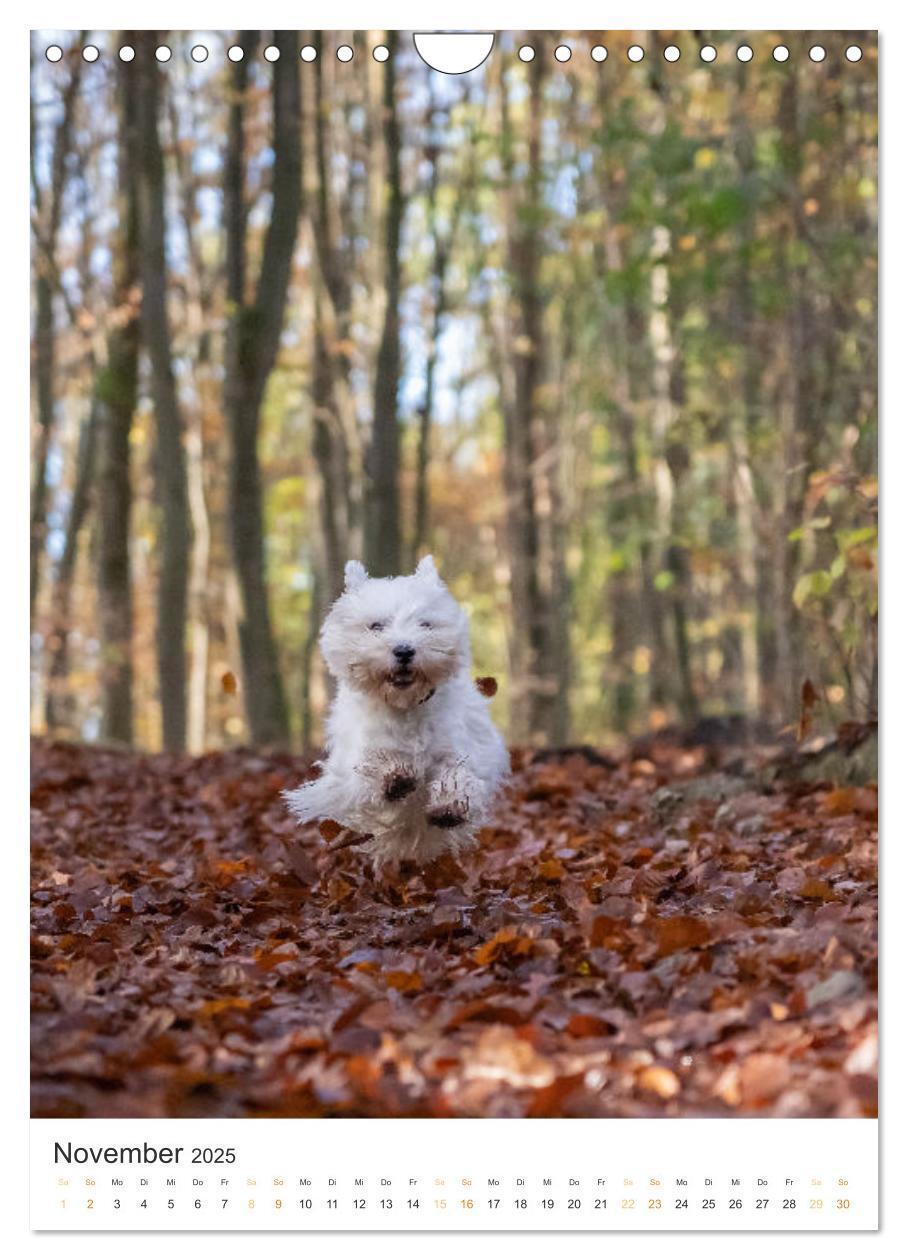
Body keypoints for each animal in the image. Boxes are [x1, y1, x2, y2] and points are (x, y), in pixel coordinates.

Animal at [284, 556, 508, 871]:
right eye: (376, 625)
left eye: (425, 623)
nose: (404, 650)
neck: (405, 705)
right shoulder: (359, 756)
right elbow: (373, 765)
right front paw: (395, 775)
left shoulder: (456, 748)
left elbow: (457, 772)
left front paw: (449, 806)